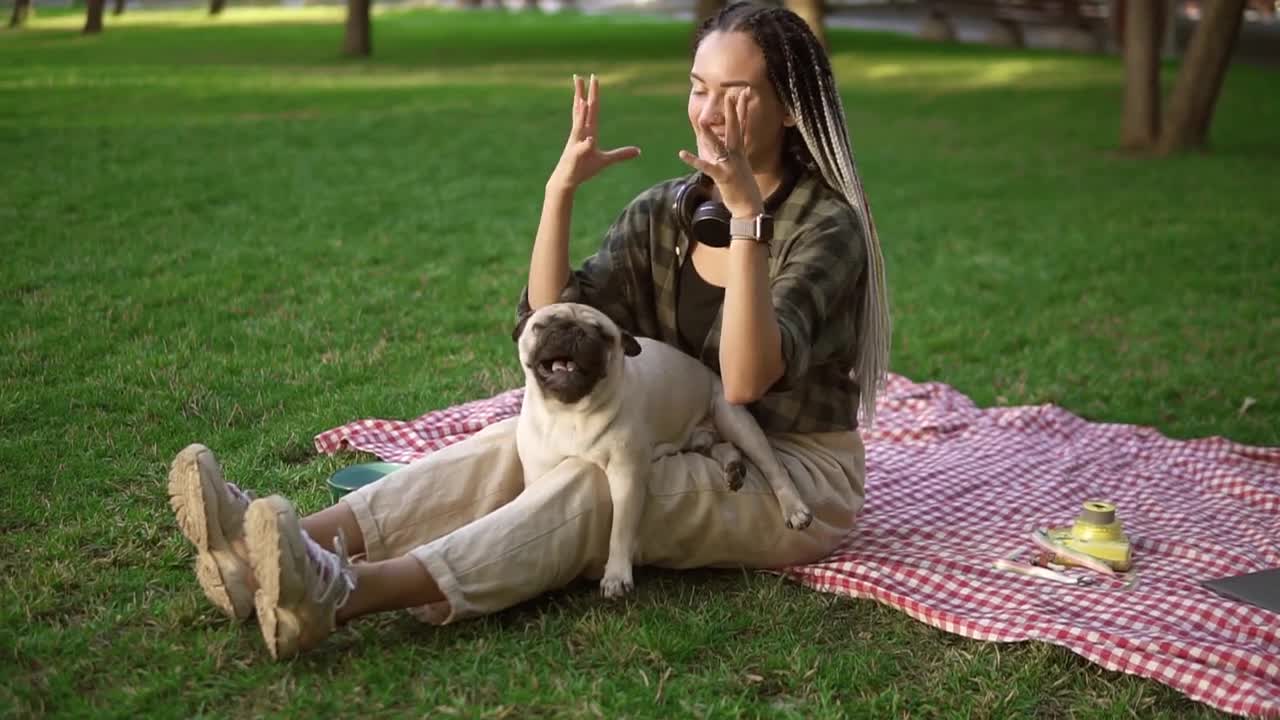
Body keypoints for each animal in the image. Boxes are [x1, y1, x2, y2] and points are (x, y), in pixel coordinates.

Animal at [509, 299, 808, 597]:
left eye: (604, 336)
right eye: (542, 326)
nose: (573, 331)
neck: (568, 413)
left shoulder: (626, 476)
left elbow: (620, 529)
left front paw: (616, 575)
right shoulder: (539, 471)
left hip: (733, 418)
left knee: (773, 467)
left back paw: (795, 509)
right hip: (701, 439)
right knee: (723, 448)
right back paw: (734, 469)